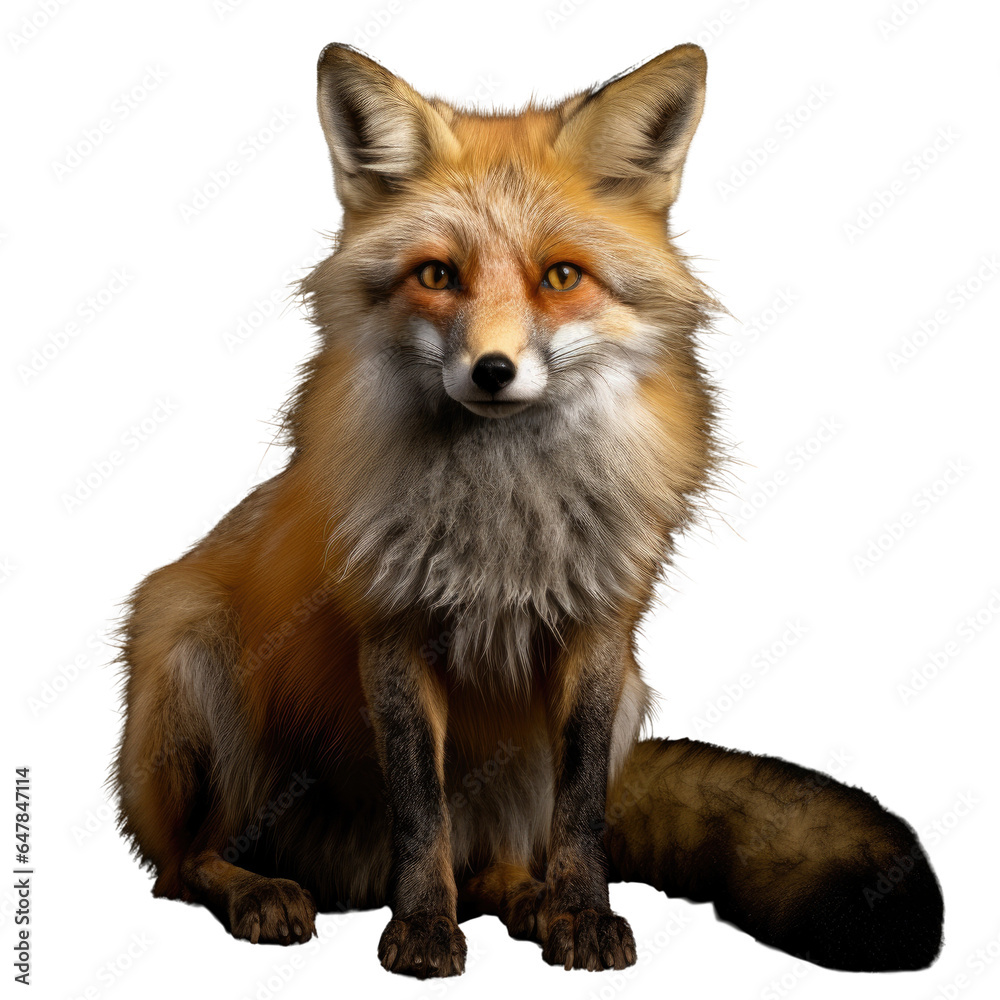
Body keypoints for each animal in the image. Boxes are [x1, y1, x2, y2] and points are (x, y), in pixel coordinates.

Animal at [113, 42, 944, 978]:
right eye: (438, 275)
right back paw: (259, 890)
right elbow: (421, 808)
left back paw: (525, 897)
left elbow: (580, 811)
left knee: (500, 862)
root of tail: (343, 878)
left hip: (613, 709)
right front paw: (422, 928)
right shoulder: (392, 632)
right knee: (182, 864)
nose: (492, 370)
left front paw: (581, 914)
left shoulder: (600, 634)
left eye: (561, 277)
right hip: (190, 651)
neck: (504, 521)